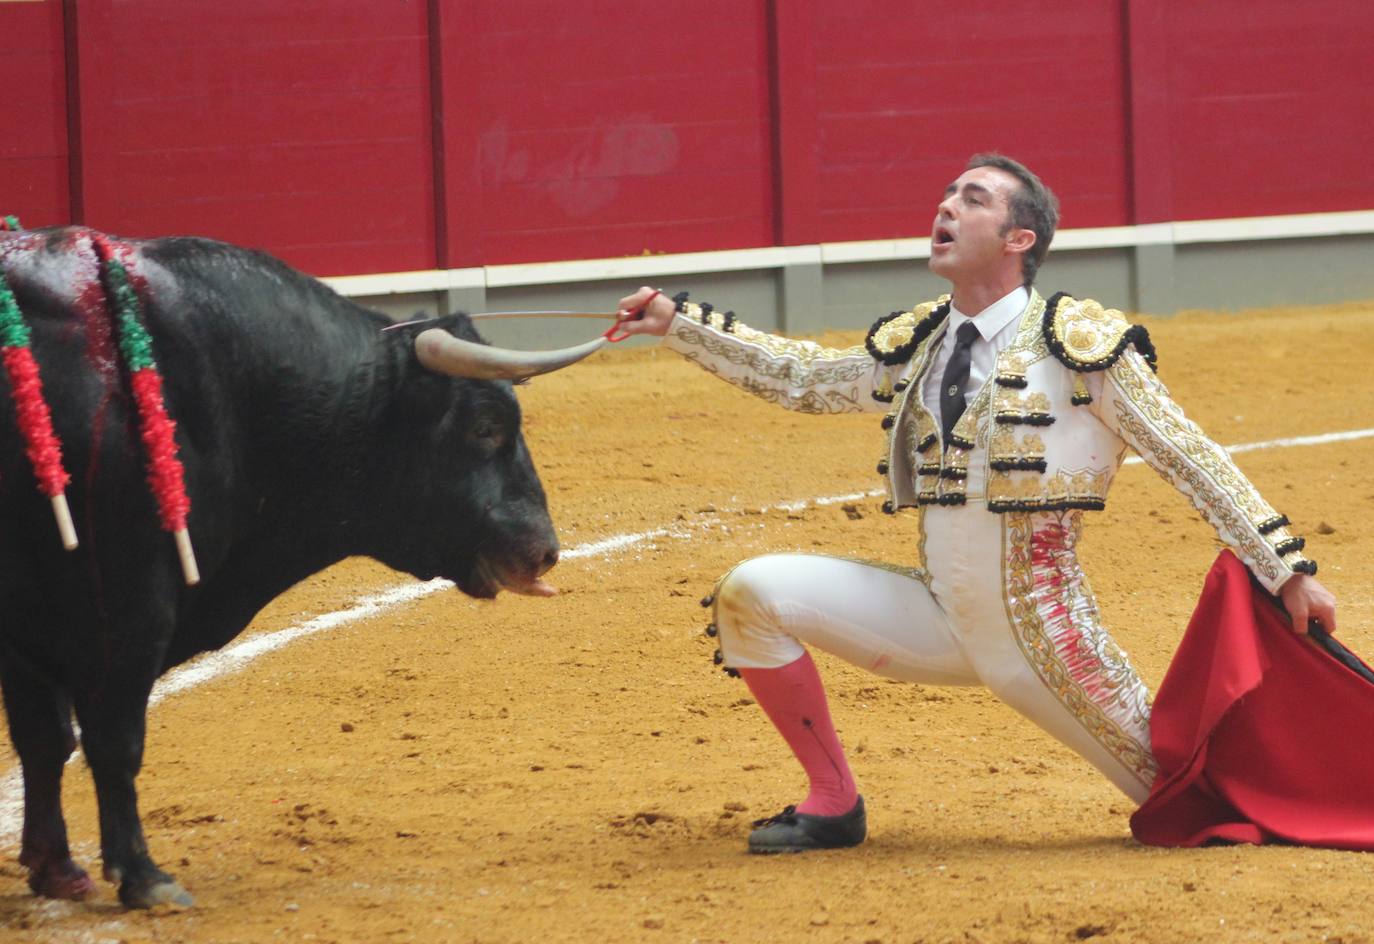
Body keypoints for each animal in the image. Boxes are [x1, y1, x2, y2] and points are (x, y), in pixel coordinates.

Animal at [1, 226, 590, 906]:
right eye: (486, 426)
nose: (545, 550)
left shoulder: (29, 629)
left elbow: (45, 740)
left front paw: (55, 868)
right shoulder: (127, 605)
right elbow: (113, 739)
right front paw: (144, 877)